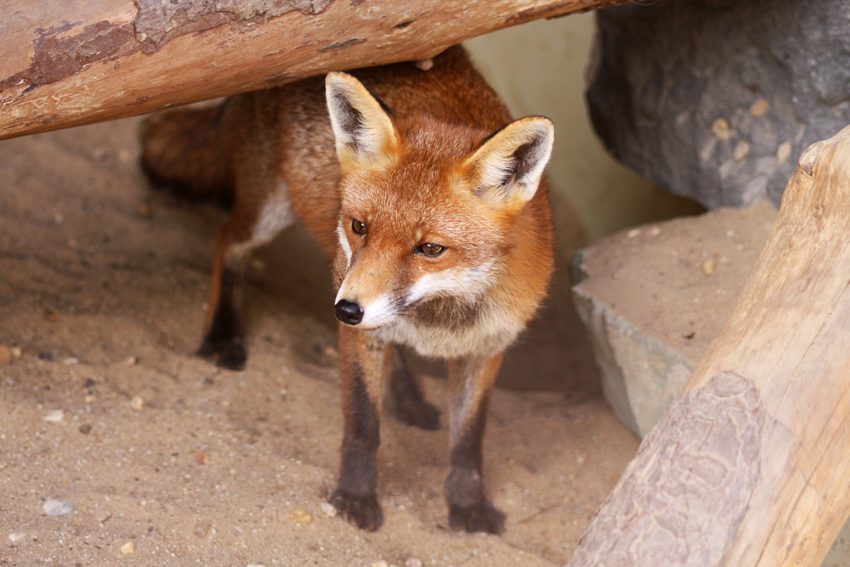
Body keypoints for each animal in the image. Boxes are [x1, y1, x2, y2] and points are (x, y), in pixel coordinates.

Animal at [142, 46, 552, 536]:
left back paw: (408, 396)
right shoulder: (358, 333)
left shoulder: (487, 348)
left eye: (430, 249)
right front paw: (355, 496)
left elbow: (469, 440)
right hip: (267, 212)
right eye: (359, 227)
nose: (347, 311)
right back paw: (223, 333)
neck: (438, 320)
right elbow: (362, 422)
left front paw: (467, 503)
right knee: (227, 243)